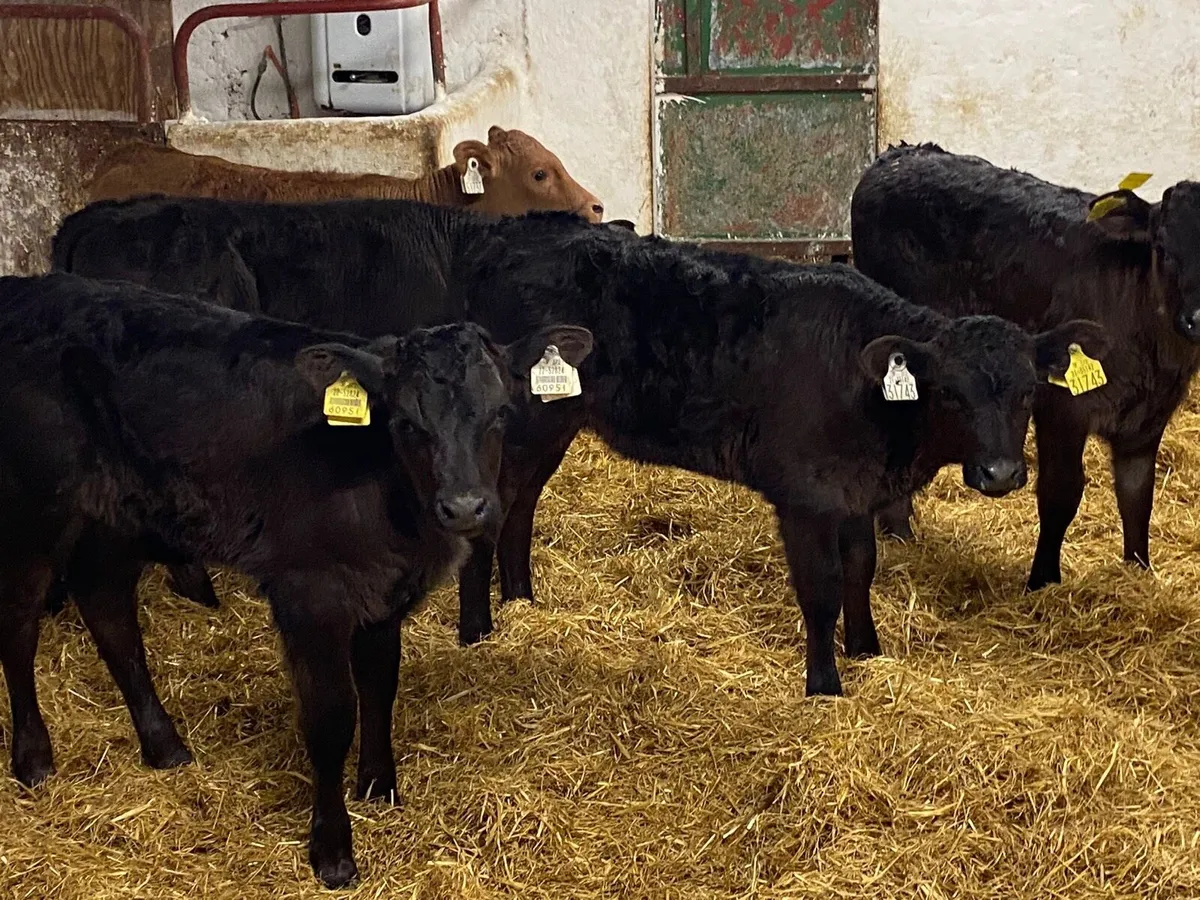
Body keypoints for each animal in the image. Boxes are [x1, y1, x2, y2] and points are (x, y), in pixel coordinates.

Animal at [0, 271, 592, 887]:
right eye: (408, 423)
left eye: (499, 413)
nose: (465, 507)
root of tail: (27, 289)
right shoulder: (311, 595)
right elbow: (331, 717)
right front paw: (332, 851)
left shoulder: (383, 592)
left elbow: (379, 686)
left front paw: (379, 787)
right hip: (31, 509)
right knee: (18, 622)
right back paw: (35, 757)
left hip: (116, 521)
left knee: (109, 611)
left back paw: (164, 745)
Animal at [52, 197, 1106, 698]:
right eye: (953, 390)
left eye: (1024, 390)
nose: (1002, 473)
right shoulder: (804, 496)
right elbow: (815, 592)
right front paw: (825, 683)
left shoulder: (850, 497)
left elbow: (861, 575)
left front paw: (871, 650)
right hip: (513, 428)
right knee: (489, 516)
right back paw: (479, 624)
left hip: (548, 422)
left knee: (515, 508)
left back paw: (519, 602)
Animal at [851, 142, 1200, 590]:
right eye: (1163, 249)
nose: (1197, 318)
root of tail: (902, 153)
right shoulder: (1061, 407)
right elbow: (1061, 493)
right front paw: (1042, 581)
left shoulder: (1148, 419)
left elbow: (1138, 495)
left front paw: (1139, 571)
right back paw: (899, 531)